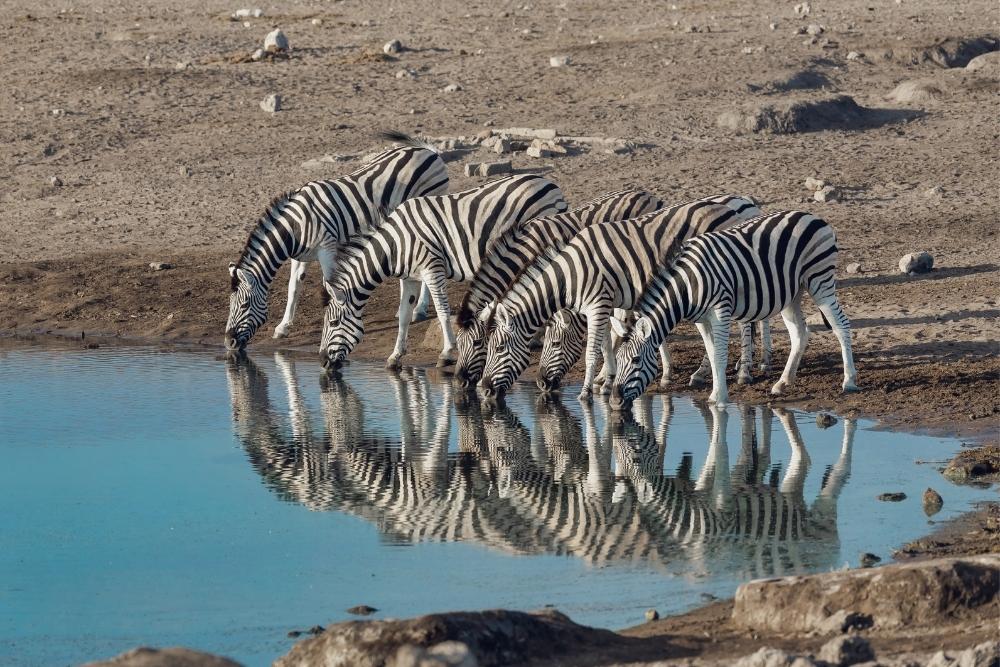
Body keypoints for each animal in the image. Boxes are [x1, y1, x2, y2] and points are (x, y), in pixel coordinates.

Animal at [227, 132, 450, 358]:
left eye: (244, 305)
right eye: (230, 305)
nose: (229, 342)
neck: (294, 227)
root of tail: (427, 151)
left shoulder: (327, 248)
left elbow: (330, 284)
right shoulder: (300, 256)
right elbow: (293, 287)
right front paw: (284, 326)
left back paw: (420, 309)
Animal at [322, 174, 572, 370]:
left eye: (333, 323)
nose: (323, 361)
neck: (395, 244)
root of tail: (550, 184)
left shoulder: (433, 269)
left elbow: (442, 311)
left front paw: (447, 353)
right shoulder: (410, 278)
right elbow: (404, 314)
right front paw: (395, 356)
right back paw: (535, 338)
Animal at [480, 193, 760, 402]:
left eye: (498, 348)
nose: (484, 389)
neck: (572, 275)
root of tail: (728, 207)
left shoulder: (599, 304)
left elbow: (594, 351)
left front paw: (587, 391)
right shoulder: (604, 305)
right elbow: (609, 342)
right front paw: (608, 381)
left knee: (744, 322)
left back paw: (743, 371)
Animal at [608, 211, 860, 410]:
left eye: (636, 361)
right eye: (617, 360)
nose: (614, 401)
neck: (688, 286)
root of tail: (813, 216)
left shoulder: (721, 310)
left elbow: (720, 354)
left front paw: (719, 398)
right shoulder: (701, 319)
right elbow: (711, 353)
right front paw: (714, 392)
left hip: (820, 279)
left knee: (841, 325)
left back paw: (848, 381)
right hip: (793, 292)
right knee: (799, 333)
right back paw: (782, 383)